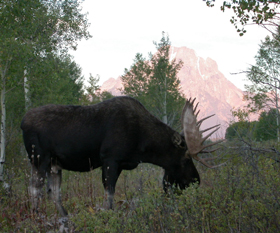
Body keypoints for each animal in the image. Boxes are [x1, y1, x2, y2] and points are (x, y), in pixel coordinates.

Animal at [20, 95, 223, 216]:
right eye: (186, 159)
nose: (196, 180)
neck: (142, 145)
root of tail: (22, 122)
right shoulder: (110, 159)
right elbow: (109, 195)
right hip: (39, 159)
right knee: (34, 189)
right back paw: (36, 216)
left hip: (55, 164)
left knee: (54, 192)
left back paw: (64, 216)